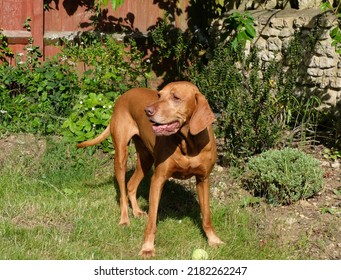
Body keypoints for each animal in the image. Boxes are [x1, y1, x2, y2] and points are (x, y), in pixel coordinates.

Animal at [76, 80, 222, 256]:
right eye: (159, 95)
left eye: (176, 97)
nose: (147, 111)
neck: (188, 144)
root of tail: (124, 95)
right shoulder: (158, 179)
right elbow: (152, 220)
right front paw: (147, 247)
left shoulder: (203, 179)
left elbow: (206, 215)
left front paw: (213, 239)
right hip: (121, 156)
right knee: (122, 192)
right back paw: (125, 219)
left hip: (146, 159)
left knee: (131, 185)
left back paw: (136, 211)